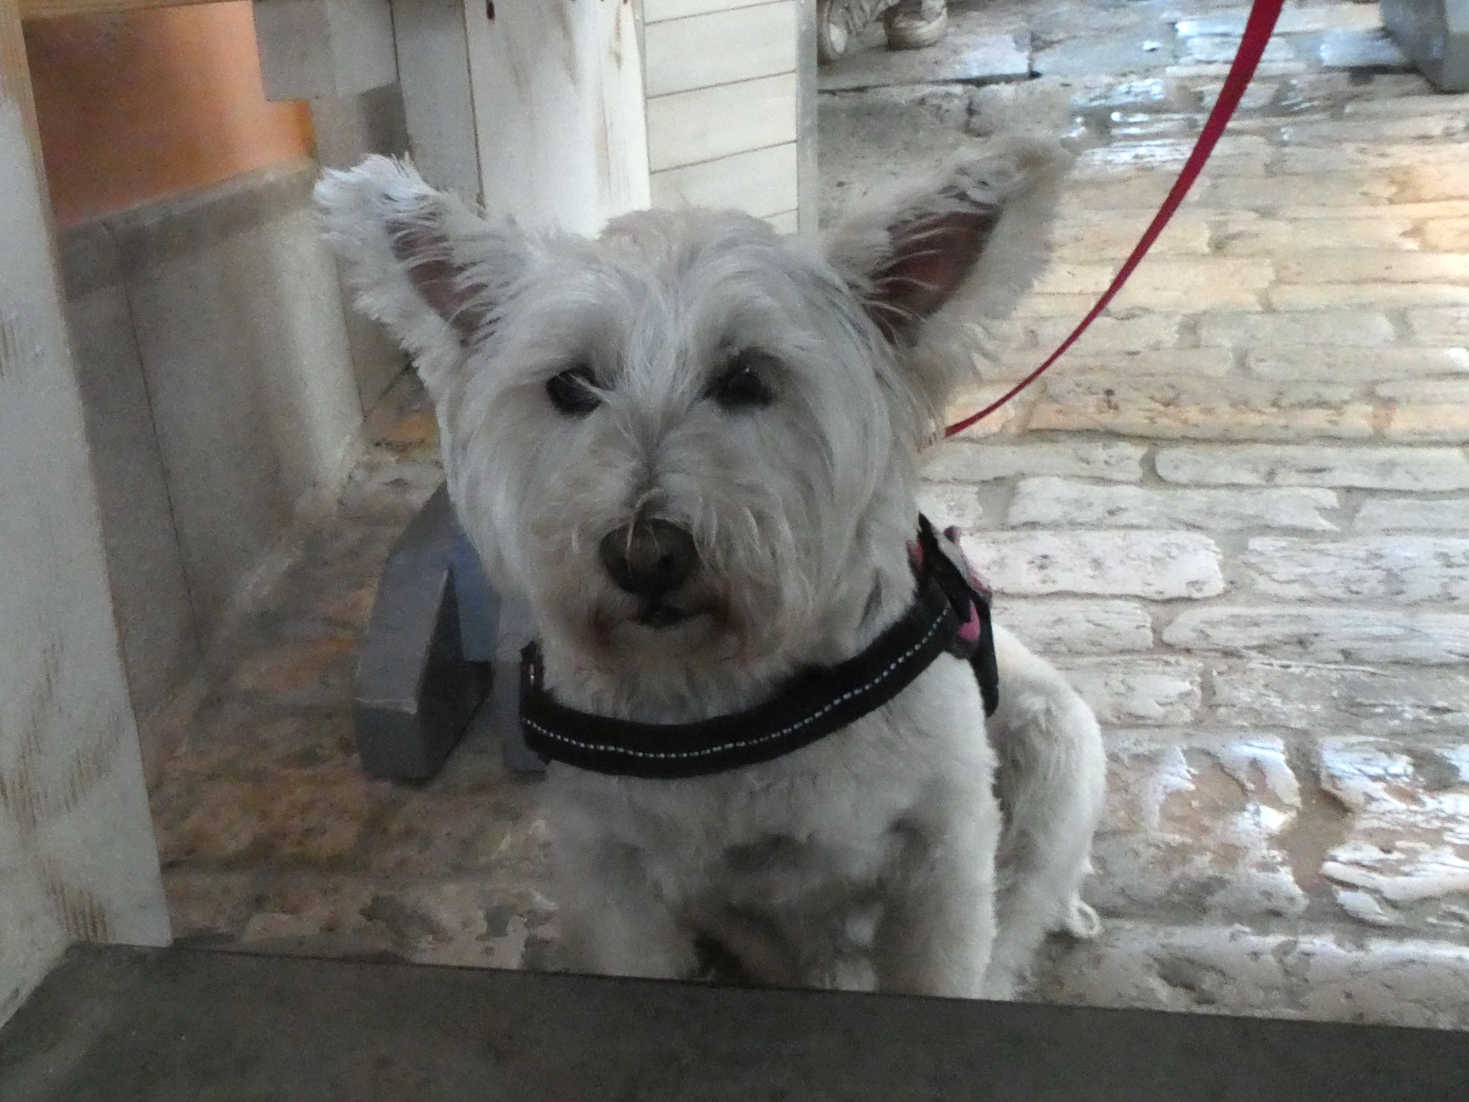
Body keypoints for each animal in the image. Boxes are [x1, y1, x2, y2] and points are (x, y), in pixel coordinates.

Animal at [318, 138, 1104, 999]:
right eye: (569, 385)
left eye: (747, 379)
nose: (643, 557)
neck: (721, 702)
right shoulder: (610, 876)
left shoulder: (942, 856)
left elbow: (947, 968)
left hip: (1056, 750)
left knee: (1023, 906)